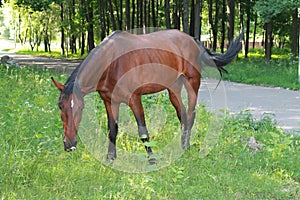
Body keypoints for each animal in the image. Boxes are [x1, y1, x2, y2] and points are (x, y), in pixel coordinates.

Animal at [51, 29, 243, 163]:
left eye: (80, 107)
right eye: (60, 106)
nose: (69, 144)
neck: (111, 63)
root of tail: (193, 41)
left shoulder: (135, 99)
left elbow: (142, 131)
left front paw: (152, 159)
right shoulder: (109, 101)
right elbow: (112, 130)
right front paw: (110, 158)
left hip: (192, 83)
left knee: (190, 114)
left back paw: (186, 146)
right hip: (173, 88)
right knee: (182, 114)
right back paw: (181, 145)